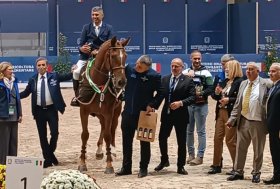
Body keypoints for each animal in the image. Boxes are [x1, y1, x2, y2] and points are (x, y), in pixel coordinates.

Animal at [77, 36, 130, 173]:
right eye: (113, 56)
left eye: (125, 56)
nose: (121, 82)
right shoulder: (83, 111)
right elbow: (84, 135)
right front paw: (82, 163)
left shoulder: (109, 112)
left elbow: (107, 135)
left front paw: (109, 165)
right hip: (99, 113)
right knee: (102, 127)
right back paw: (100, 151)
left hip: (115, 112)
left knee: (112, 129)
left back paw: (112, 150)